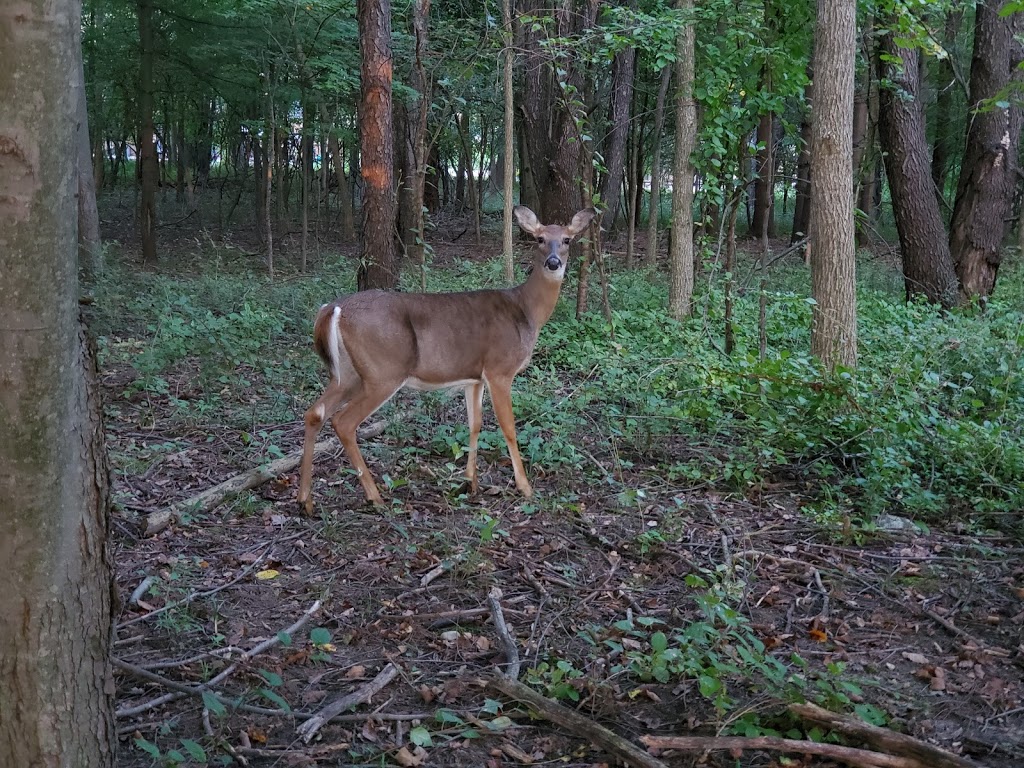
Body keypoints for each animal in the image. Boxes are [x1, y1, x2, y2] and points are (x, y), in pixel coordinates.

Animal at [294, 207, 598, 514]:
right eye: (539, 238)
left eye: (567, 239)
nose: (553, 262)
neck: (526, 311)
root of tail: (333, 308)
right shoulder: (500, 369)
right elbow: (508, 427)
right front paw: (525, 487)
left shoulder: (475, 377)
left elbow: (475, 424)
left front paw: (470, 482)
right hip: (383, 372)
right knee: (344, 422)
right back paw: (374, 496)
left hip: (348, 373)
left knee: (315, 412)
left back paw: (305, 500)